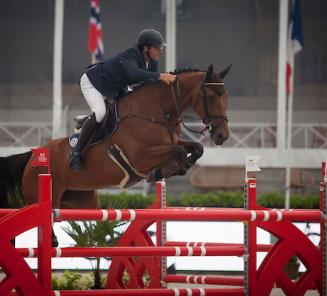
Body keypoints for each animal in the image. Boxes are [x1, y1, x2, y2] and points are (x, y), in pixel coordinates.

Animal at [0, 64, 231, 245]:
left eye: (226, 96)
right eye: (211, 96)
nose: (222, 135)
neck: (155, 112)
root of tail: (32, 156)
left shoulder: (171, 142)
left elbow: (195, 148)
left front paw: (176, 168)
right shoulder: (141, 156)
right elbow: (179, 152)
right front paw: (162, 172)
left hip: (82, 201)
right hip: (41, 197)